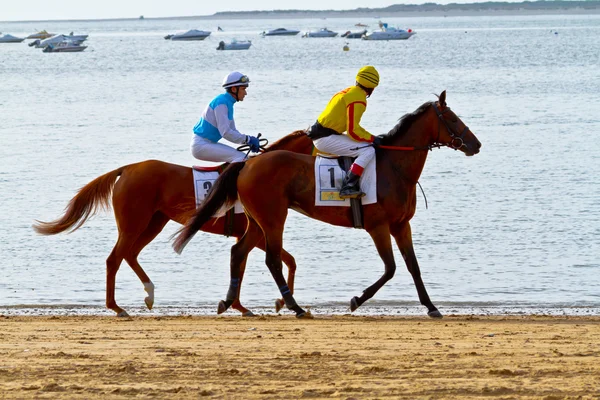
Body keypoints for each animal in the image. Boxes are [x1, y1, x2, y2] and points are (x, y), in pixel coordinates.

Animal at [32, 130, 314, 316]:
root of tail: (127, 168)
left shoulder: (251, 232)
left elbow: (276, 261)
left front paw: (254, 304)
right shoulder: (257, 230)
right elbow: (275, 260)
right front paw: (268, 303)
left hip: (154, 223)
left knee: (130, 254)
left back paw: (149, 294)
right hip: (134, 223)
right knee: (115, 258)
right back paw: (117, 307)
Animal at [173, 90, 482, 318]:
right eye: (453, 119)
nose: (476, 145)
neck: (395, 167)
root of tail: (247, 163)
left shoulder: (401, 225)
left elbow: (413, 266)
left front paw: (431, 306)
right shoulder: (378, 227)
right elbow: (391, 268)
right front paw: (356, 299)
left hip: (258, 220)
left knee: (239, 252)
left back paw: (229, 302)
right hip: (273, 218)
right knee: (272, 259)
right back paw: (295, 307)